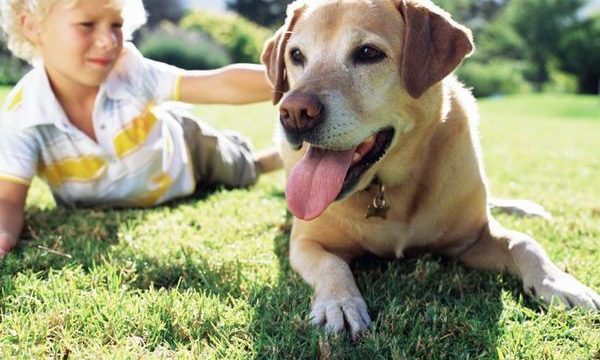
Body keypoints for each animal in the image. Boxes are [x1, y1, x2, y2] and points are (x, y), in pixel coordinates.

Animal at [262, 0, 600, 338]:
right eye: (296, 55)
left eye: (368, 53)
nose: (293, 113)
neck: (388, 187)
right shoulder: (305, 242)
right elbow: (331, 264)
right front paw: (339, 303)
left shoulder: (473, 238)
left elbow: (524, 243)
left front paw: (560, 284)